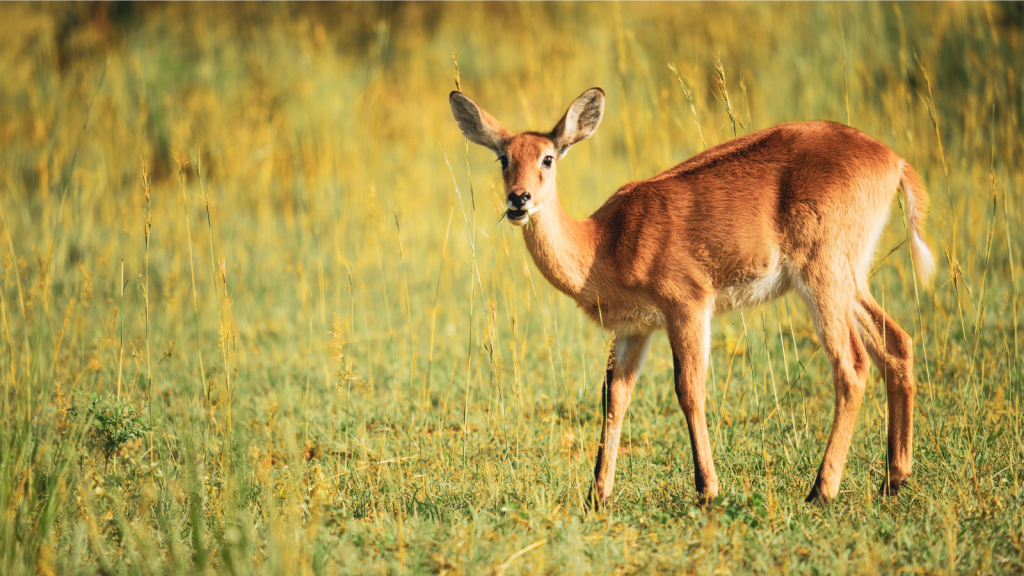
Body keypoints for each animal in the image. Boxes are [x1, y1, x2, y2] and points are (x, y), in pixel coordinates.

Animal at [448, 87, 937, 504]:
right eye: (503, 157)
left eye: (548, 157)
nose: (519, 200)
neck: (606, 241)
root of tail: (895, 161)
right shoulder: (634, 329)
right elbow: (614, 396)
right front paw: (597, 496)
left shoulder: (687, 306)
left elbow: (689, 389)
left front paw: (707, 489)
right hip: (851, 279)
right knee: (897, 343)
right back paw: (894, 479)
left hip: (824, 278)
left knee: (852, 366)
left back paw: (821, 491)